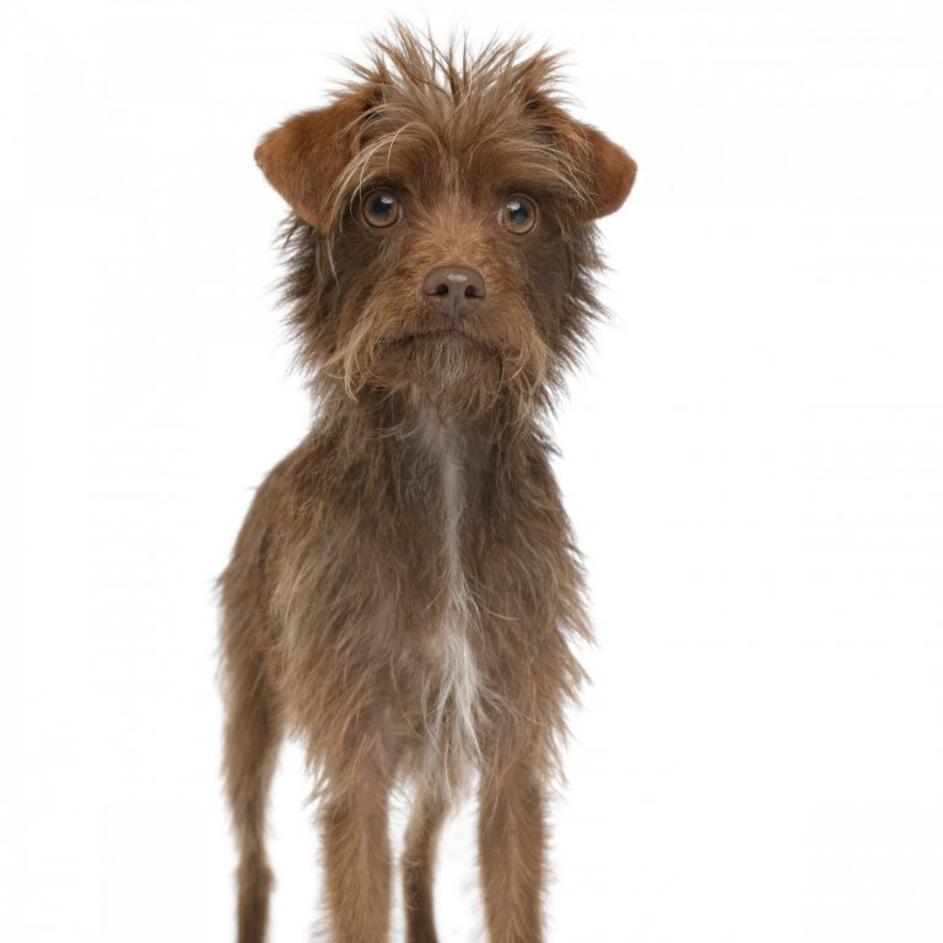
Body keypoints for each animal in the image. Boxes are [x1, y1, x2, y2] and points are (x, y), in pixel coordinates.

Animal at [218, 23, 636, 943]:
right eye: (381, 205)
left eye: (517, 212)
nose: (453, 283)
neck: (441, 449)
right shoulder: (359, 767)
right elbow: (357, 894)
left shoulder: (510, 755)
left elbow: (509, 897)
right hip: (252, 719)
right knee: (255, 859)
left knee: (416, 853)